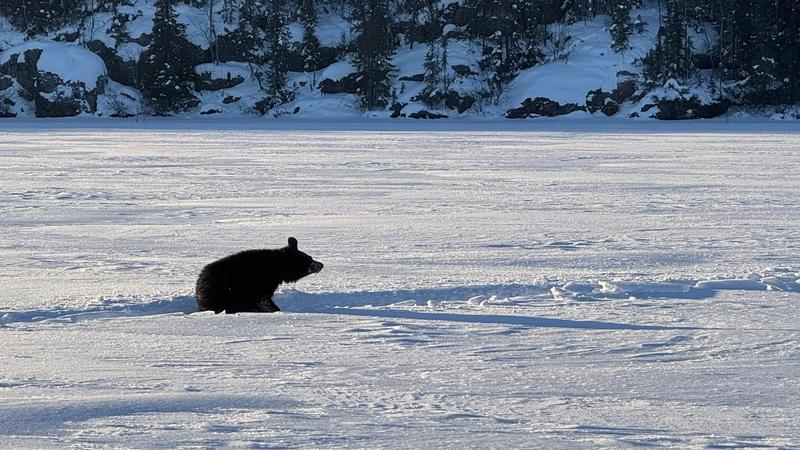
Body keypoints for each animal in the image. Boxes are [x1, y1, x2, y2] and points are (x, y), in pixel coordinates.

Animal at [195, 237, 323, 314]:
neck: (278, 269)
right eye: (308, 260)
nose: (321, 265)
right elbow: (263, 299)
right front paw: (275, 309)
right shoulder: (261, 283)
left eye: (310, 257)